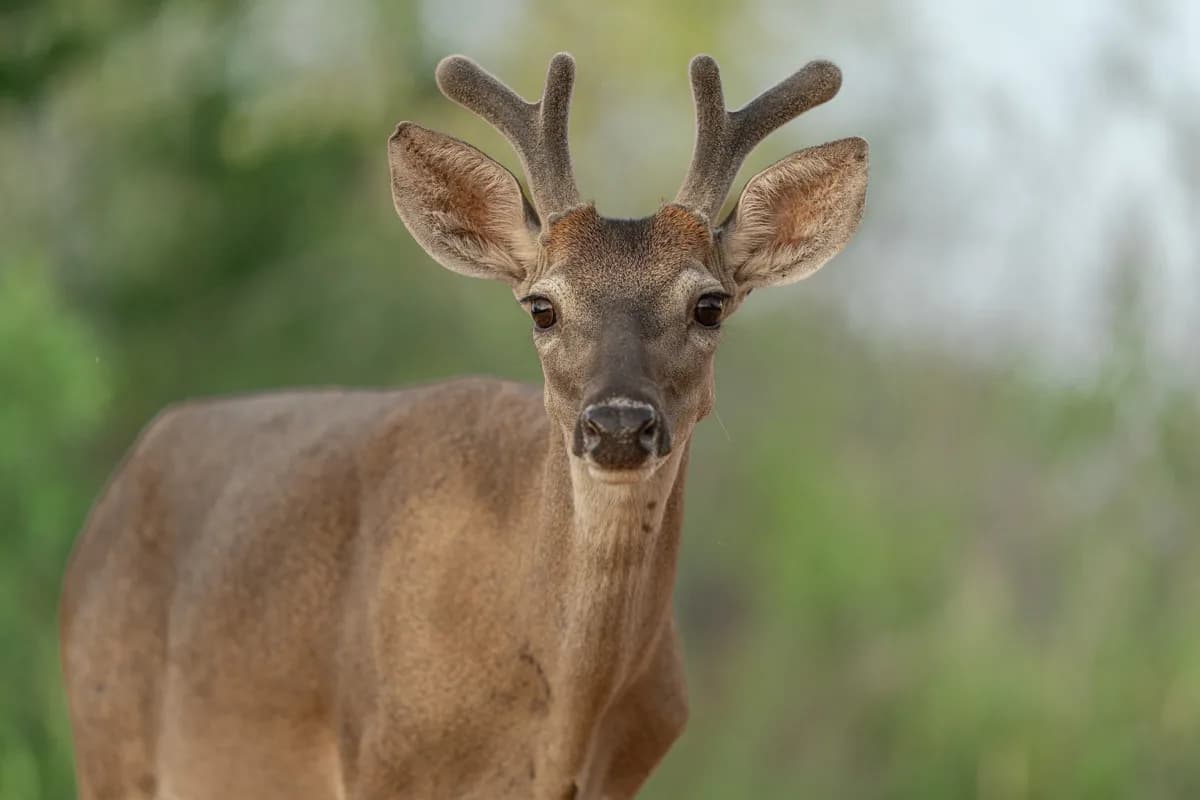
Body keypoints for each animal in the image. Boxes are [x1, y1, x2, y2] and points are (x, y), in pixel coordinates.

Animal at [60, 52, 868, 800]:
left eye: (708, 305)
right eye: (542, 306)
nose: (617, 425)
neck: (561, 729)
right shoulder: (385, 759)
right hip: (109, 741)